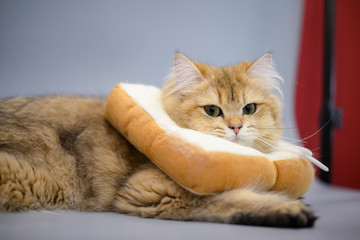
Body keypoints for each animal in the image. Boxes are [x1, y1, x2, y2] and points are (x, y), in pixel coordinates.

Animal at [0, 52, 316, 227]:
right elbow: (231, 198)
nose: (236, 127)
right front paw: (281, 208)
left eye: (249, 109)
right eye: (212, 110)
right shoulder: (151, 189)